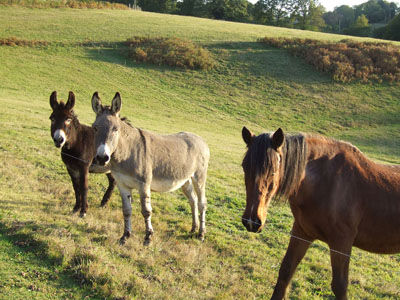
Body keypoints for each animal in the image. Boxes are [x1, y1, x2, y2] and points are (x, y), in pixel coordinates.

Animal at [241, 126, 400, 300]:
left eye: (273, 171)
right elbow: (285, 271)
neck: (326, 183)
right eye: (244, 167)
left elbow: (340, 285)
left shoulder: (342, 243)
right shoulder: (302, 233)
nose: (251, 221)